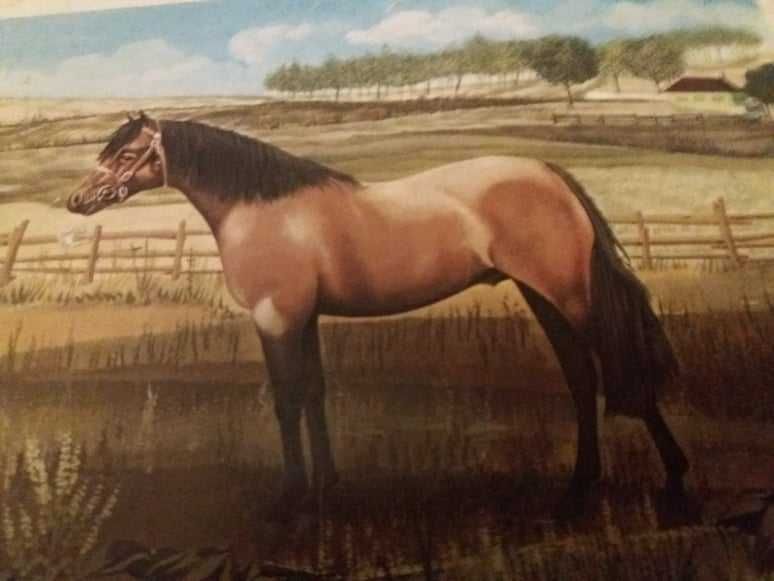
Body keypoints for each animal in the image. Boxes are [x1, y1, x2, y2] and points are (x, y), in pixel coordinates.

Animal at [67, 112, 689, 520]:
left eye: (126, 154)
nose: (77, 201)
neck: (265, 210)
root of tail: (547, 173)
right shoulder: (304, 320)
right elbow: (313, 395)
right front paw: (328, 487)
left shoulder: (276, 320)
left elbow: (286, 401)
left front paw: (291, 497)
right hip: (544, 299)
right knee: (582, 380)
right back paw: (578, 488)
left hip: (571, 298)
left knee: (625, 373)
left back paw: (676, 481)